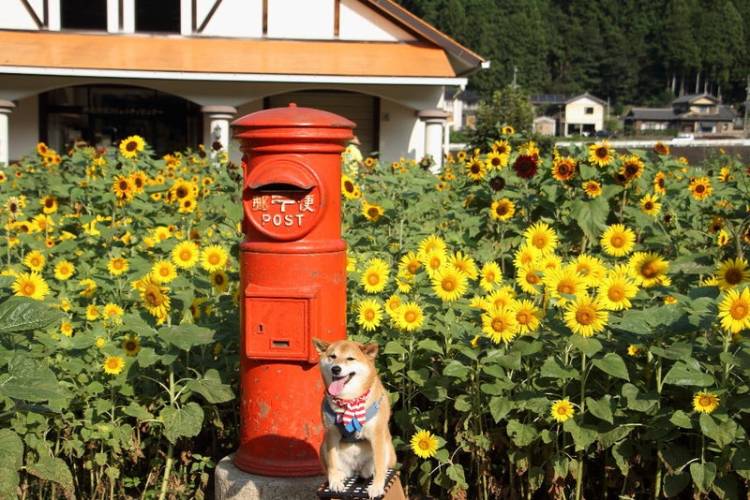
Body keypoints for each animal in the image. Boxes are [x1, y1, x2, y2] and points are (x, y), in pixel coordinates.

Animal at [314, 338, 400, 498]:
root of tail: (356, 469)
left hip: (388, 448)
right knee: (333, 467)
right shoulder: (331, 433)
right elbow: (332, 462)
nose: (336, 369)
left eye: (350, 358)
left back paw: (369, 473)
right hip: (323, 447)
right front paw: (335, 482)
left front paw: (377, 486)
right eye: (332, 356)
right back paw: (339, 475)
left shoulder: (377, 434)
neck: (348, 400)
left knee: (378, 466)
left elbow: (379, 465)